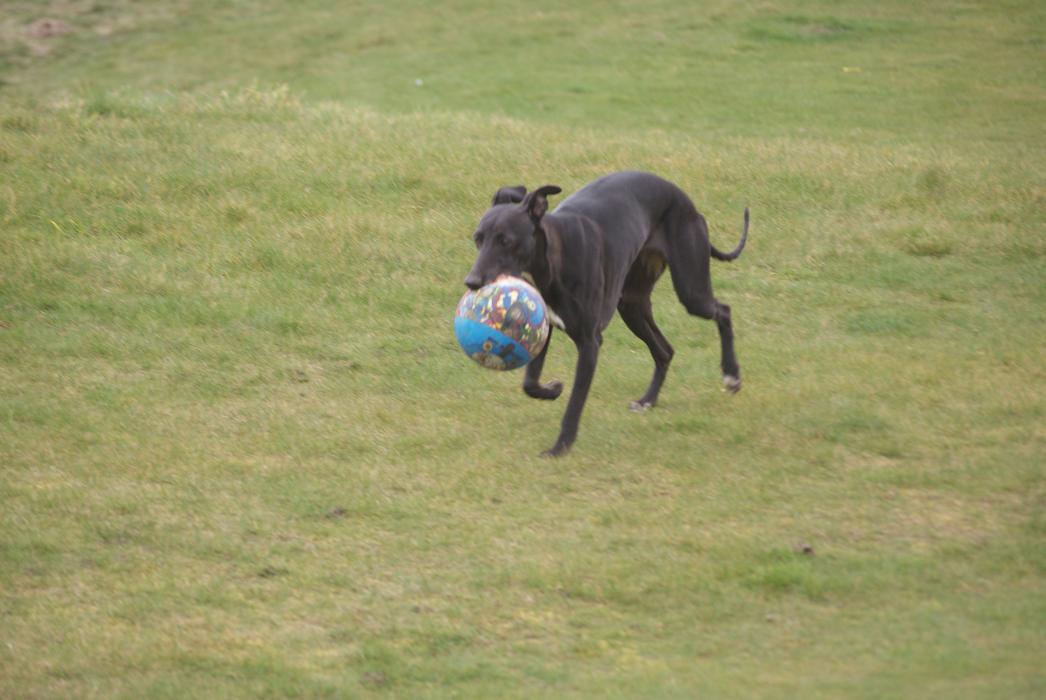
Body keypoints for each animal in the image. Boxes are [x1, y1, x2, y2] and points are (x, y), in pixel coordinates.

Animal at [464, 171, 748, 457]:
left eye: (506, 241)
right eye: (478, 238)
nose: (472, 282)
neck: (554, 256)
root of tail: (684, 199)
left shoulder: (590, 343)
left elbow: (575, 402)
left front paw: (561, 447)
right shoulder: (539, 326)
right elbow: (530, 383)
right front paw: (552, 390)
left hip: (691, 291)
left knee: (723, 311)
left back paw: (732, 375)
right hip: (632, 305)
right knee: (665, 351)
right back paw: (647, 401)